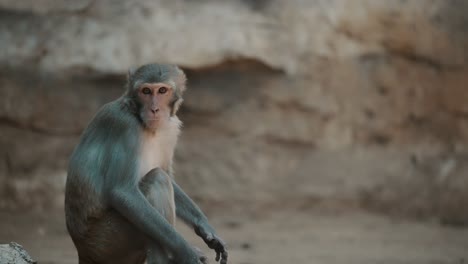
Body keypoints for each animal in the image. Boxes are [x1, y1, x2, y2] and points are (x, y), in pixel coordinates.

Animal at [64, 63, 229, 264]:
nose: (154, 109)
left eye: (162, 90)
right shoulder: (126, 127)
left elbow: (167, 174)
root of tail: (82, 251)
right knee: (157, 180)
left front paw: (205, 226)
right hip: (106, 242)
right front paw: (187, 252)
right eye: (146, 91)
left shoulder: (171, 128)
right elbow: (123, 191)